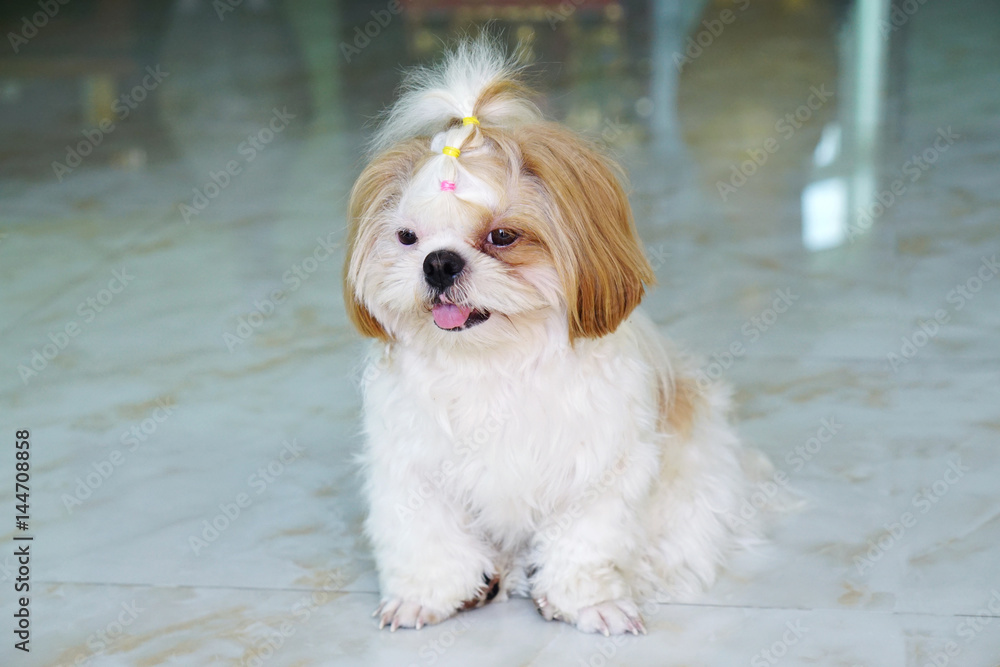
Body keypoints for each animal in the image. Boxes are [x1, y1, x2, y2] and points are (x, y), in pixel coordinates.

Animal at [340, 36, 768, 636]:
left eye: (502, 236)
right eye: (407, 237)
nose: (439, 262)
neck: (492, 362)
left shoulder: (601, 470)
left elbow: (586, 542)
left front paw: (587, 601)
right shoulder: (411, 466)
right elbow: (426, 537)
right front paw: (427, 595)